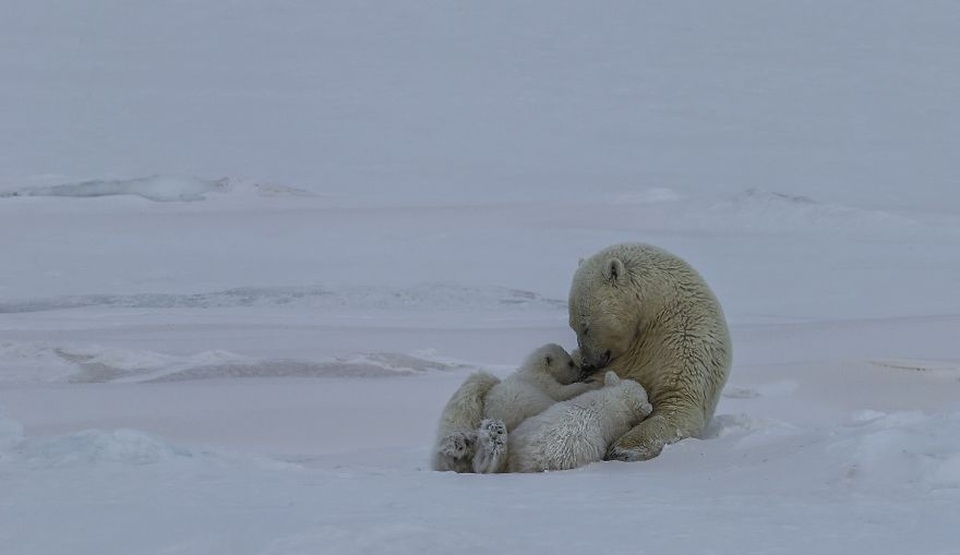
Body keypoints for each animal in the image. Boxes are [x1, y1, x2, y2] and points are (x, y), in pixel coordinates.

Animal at [568, 244, 736, 464]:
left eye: (585, 326)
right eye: (572, 326)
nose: (587, 365)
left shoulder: (682, 342)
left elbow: (677, 403)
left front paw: (623, 448)